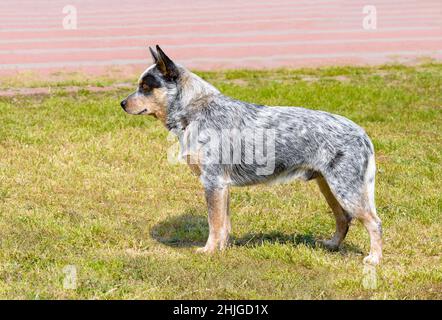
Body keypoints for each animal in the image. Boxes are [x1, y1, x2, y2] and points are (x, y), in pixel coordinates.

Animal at [121, 45, 384, 264]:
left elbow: (214, 224)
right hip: (328, 187)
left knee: (374, 222)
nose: (122, 103)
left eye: (145, 87)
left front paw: (208, 251)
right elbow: (224, 224)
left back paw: (374, 259)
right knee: (343, 219)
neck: (196, 110)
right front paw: (222, 250)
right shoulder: (222, 186)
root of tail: (362, 133)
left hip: (346, 189)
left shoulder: (212, 182)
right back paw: (331, 245)